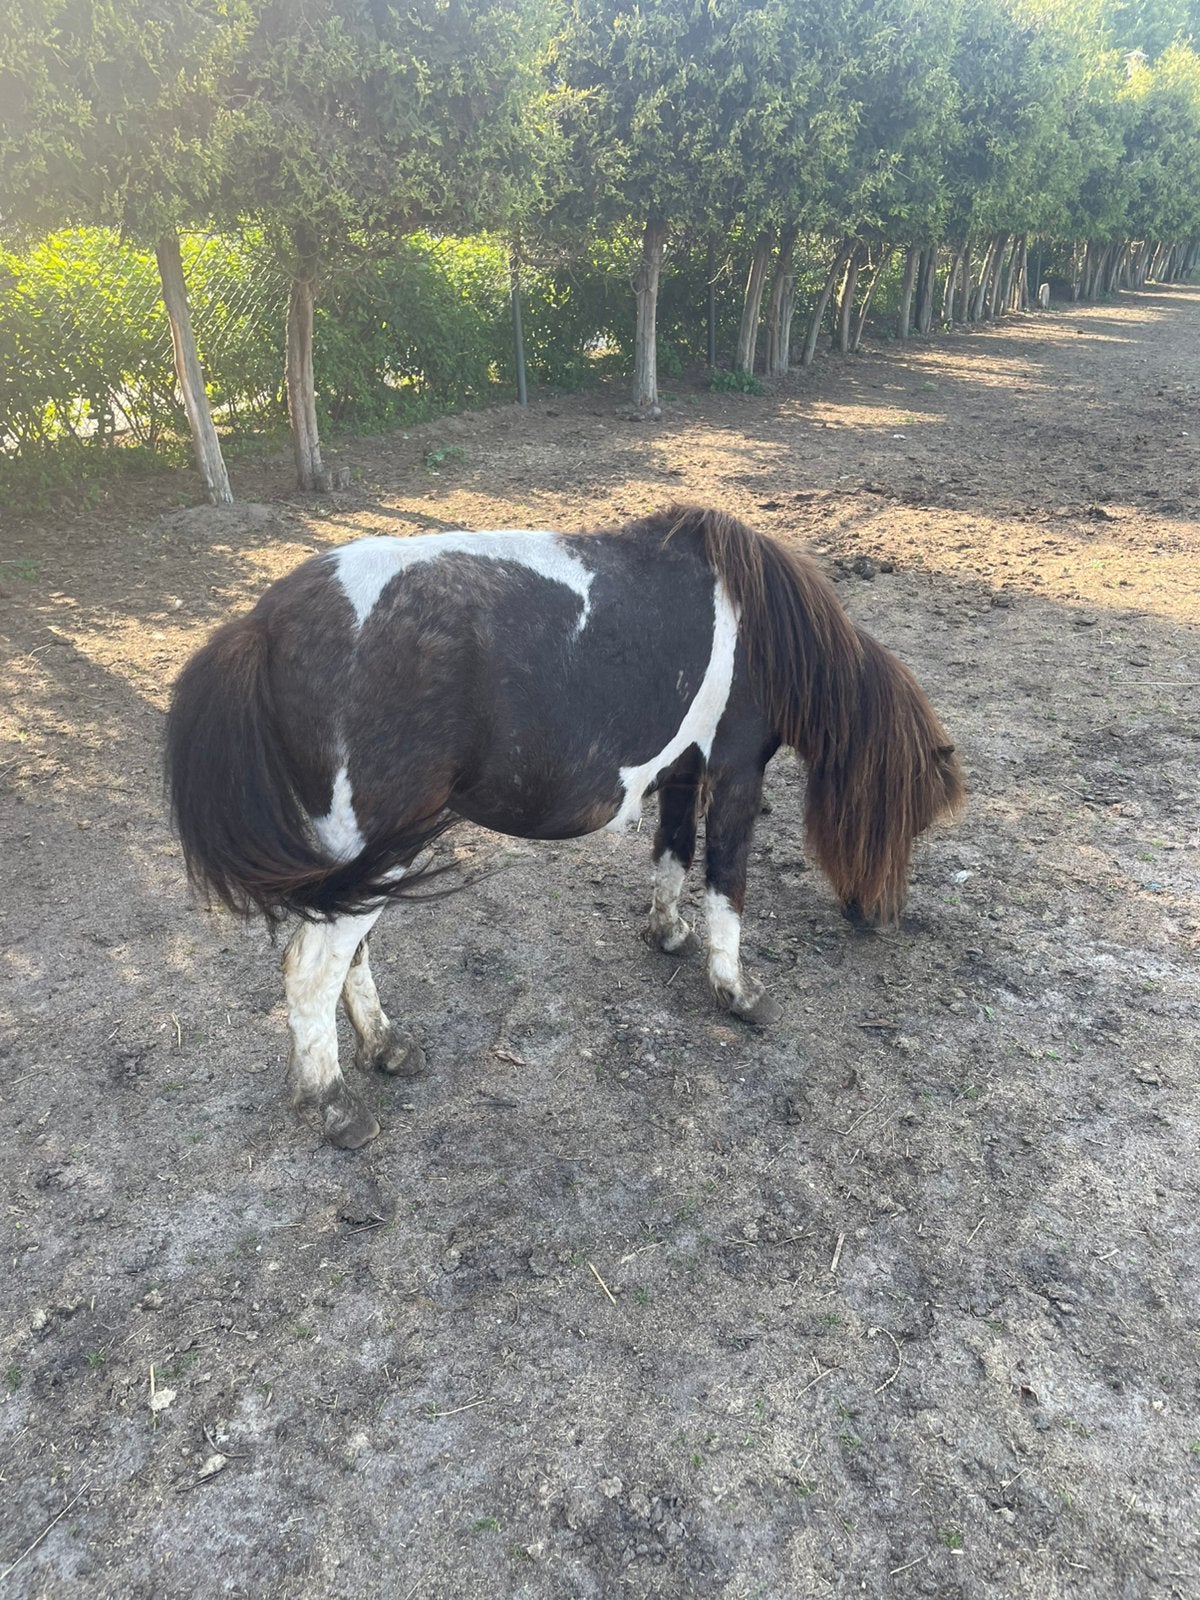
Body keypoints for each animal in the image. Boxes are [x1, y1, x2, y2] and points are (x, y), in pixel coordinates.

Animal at [165, 505, 963, 1149]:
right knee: (310, 972)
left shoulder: (683, 774)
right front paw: (737, 992)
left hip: (353, 868)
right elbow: (727, 887)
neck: (764, 627)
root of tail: (263, 627)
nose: (881, 918)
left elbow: (673, 856)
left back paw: (387, 1048)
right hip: (369, 858)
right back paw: (334, 1108)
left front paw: (668, 933)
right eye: (910, 821)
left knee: (348, 961)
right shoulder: (736, 776)